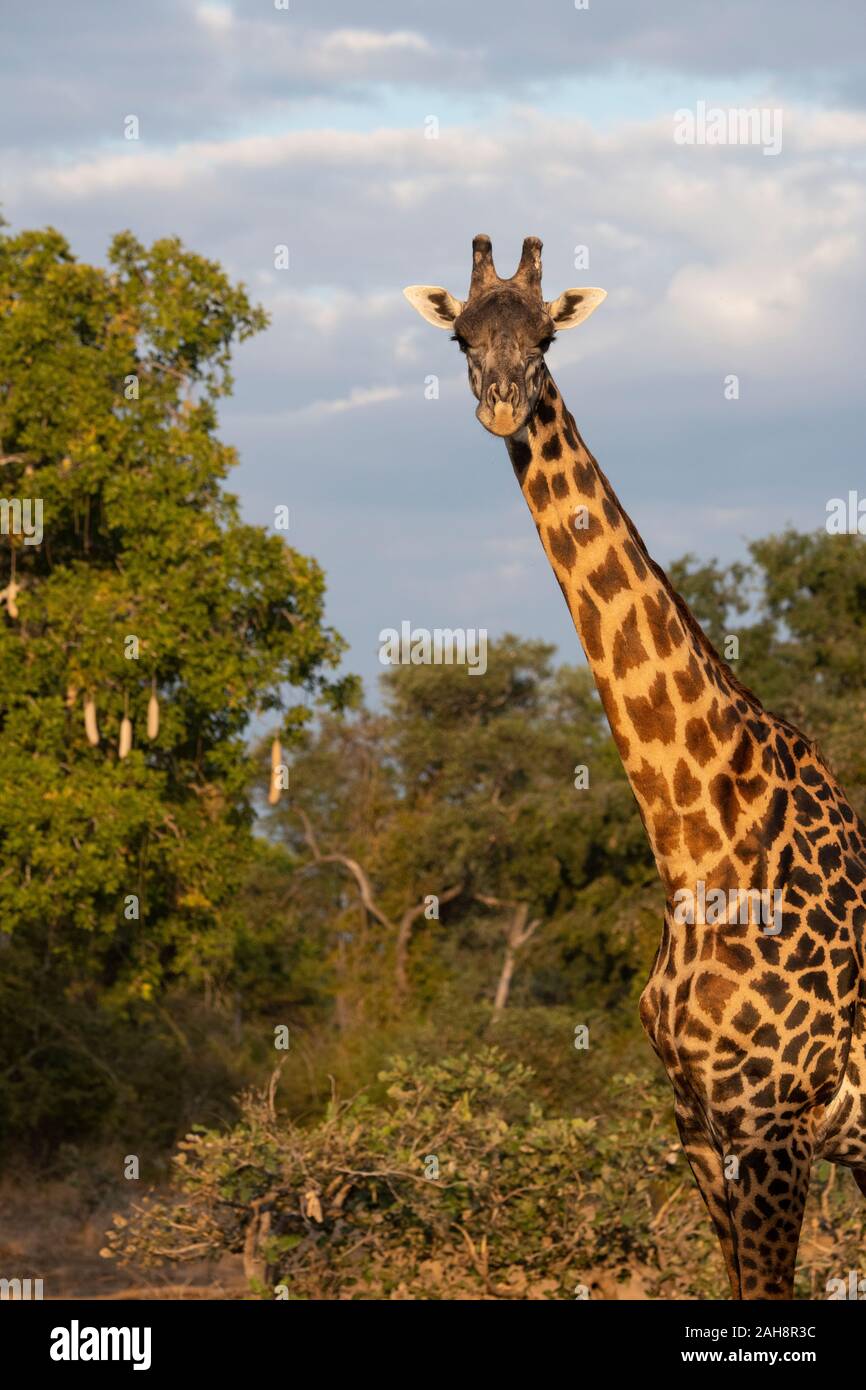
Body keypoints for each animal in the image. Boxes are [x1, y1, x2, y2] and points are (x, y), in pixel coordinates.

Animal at [405, 233, 866, 1295]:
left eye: (543, 336)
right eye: (460, 338)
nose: (502, 401)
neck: (698, 839)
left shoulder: (777, 1125)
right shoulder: (698, 1126)